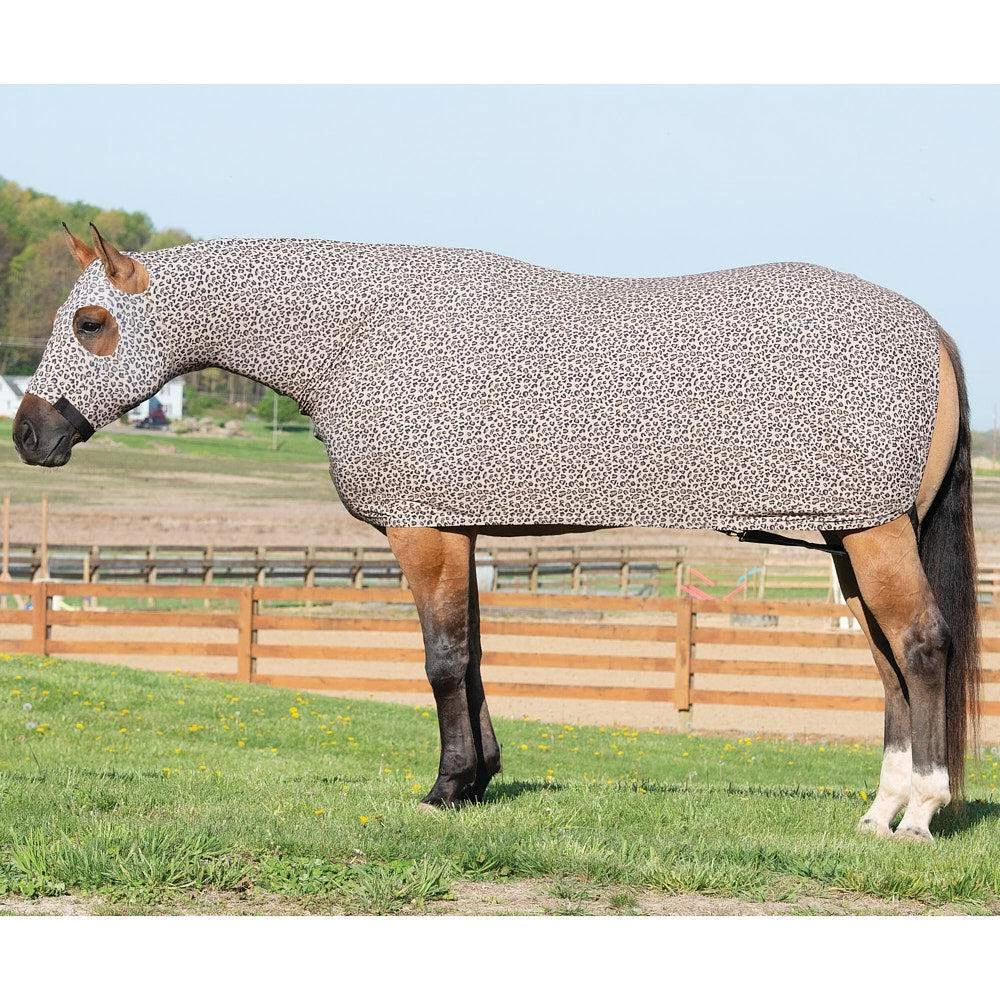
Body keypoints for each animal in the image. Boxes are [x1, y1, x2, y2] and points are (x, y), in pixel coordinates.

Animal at [12, 223, 979, 842]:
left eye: (91, 325)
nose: (29, 435)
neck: (361, 334)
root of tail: (928, 327)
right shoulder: (459, 531)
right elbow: (471, 656)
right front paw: (477, 779)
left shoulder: (422, 532)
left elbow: (442, 660)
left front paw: (445, 790)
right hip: (849, 539)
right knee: (887, 661)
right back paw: (879, 811)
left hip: (875, 536)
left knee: (923, 648)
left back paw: (921, 813)